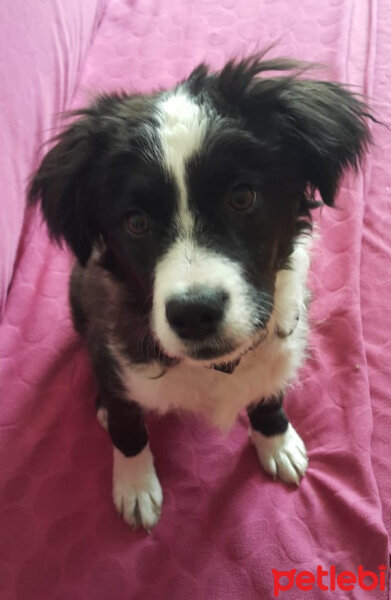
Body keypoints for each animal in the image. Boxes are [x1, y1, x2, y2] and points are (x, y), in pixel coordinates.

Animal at [29, 54, 372, 528]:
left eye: (242, 197)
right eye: (136, 222)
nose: (194, 314)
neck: (215, 367)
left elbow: (269, 388)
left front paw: (276, 439)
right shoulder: (108, 335)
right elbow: (127, 423)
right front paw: (135, 484)